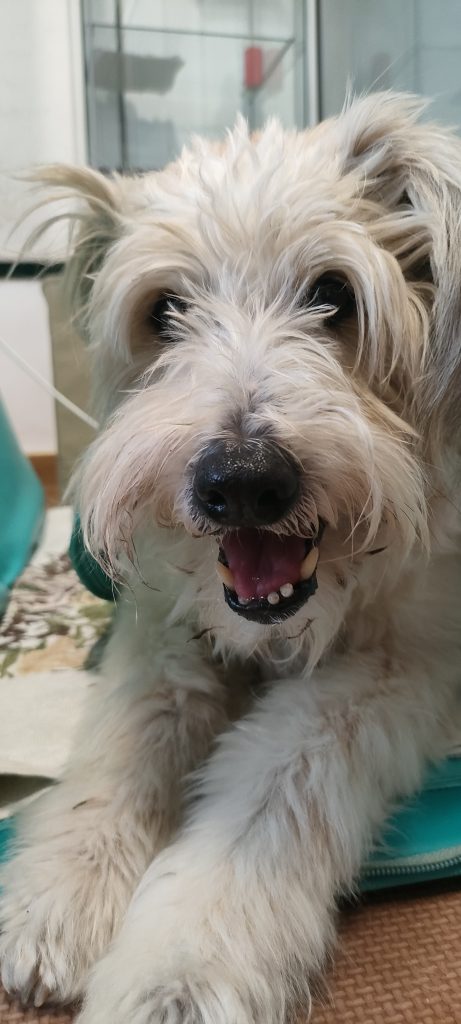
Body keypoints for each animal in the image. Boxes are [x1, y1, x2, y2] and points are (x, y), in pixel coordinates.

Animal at [1, 91, 461, 1024]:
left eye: (333, 295)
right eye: (163, 311)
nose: (242, 482)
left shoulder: (396, 668)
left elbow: (271, 788)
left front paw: (176, 974)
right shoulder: (162, 634)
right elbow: (125, 744)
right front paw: (60, 891)